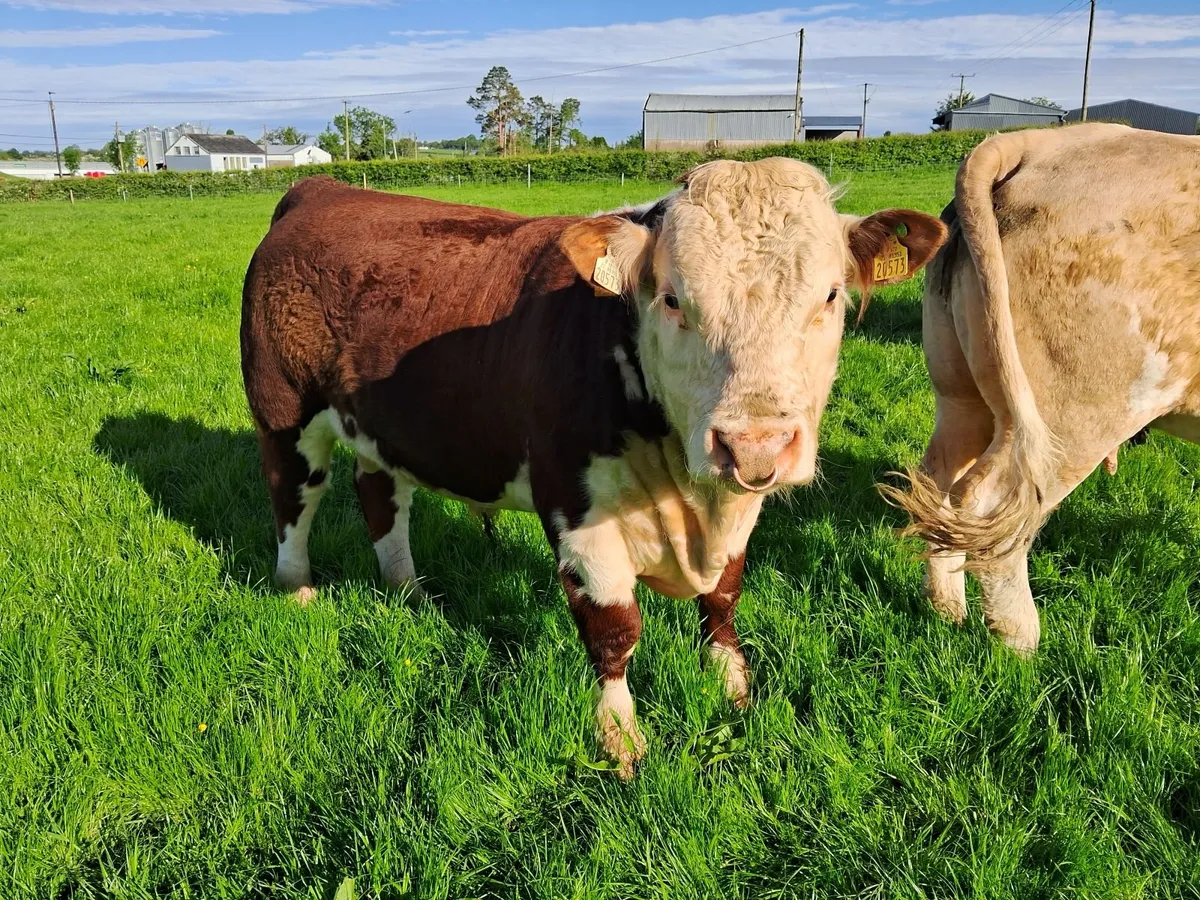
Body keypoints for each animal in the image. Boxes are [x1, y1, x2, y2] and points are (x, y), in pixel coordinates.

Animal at [241, 163, 946, 775]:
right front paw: (620, 738)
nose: (754, 444)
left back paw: (408, 589)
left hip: (381, 431)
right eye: (672, 299)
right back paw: (297, 587)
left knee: (382, 498)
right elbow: (614, 628)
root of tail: (321, 188)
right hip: (284, 414)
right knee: (293, 497)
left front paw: (732, 686)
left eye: (830, 294)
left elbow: (722, 597)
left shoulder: (741, 506)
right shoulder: (574, 508)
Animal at [885, 124, 1200, 654]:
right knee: (994, 505)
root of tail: (1038, 142)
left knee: (938, 482)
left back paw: (947, 609)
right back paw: (1020, 643)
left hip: (962, 392)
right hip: (1077, 413)